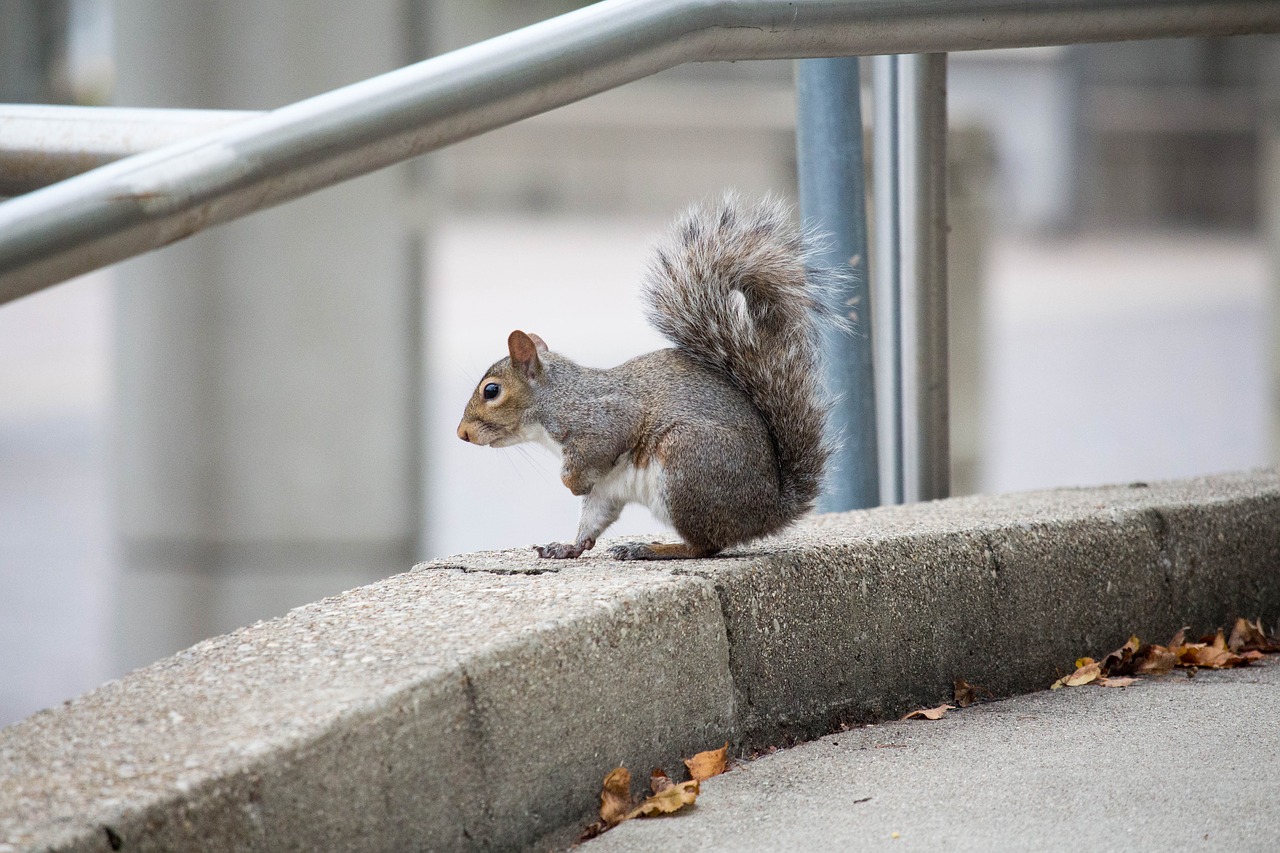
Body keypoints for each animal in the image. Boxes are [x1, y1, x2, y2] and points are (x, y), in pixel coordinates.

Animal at [455, 192, 834, 558]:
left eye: (491, 391)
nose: (462, 434)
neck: (553, 401)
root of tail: (768, 511)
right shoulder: (605, 488)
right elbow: (593, 518)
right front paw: (567, 545)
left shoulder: (604, 420)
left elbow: (598, 449)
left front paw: (571, 482)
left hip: (685, 464)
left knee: (704, 546)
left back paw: (652, 548)